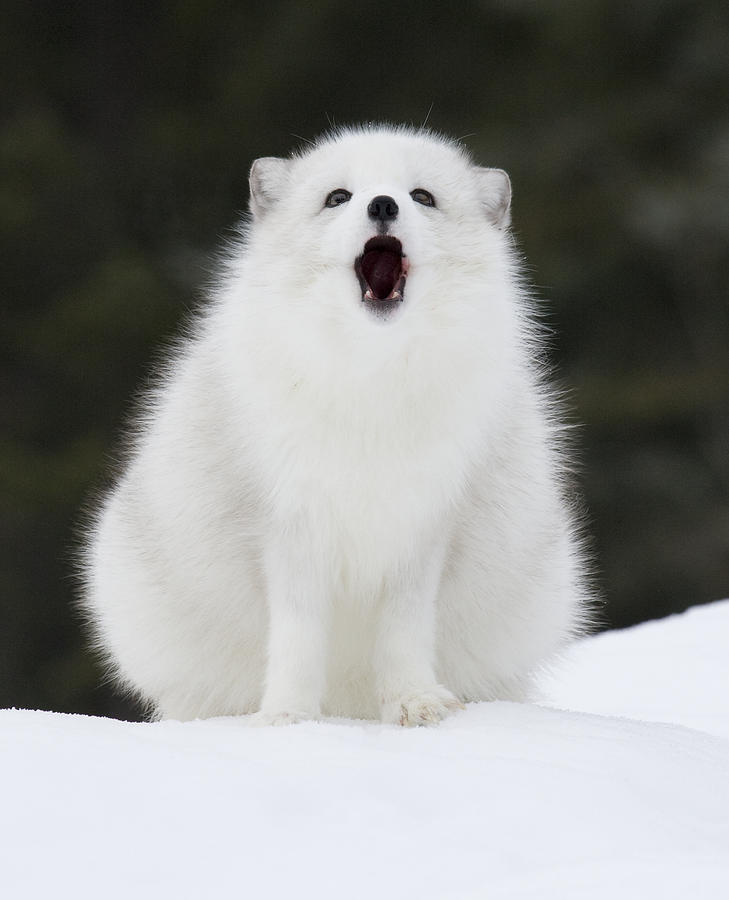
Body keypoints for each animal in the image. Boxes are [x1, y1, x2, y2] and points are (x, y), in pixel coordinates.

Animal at [82, 125, 588, 724]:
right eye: (338, 197)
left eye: (422, 196)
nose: (383, 204)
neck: (370, 385)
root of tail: (351, 702)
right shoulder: (290, 528)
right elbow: (297, 638)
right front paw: (289, 717)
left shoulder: (422, 529)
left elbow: (405, 634)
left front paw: (415, 703)